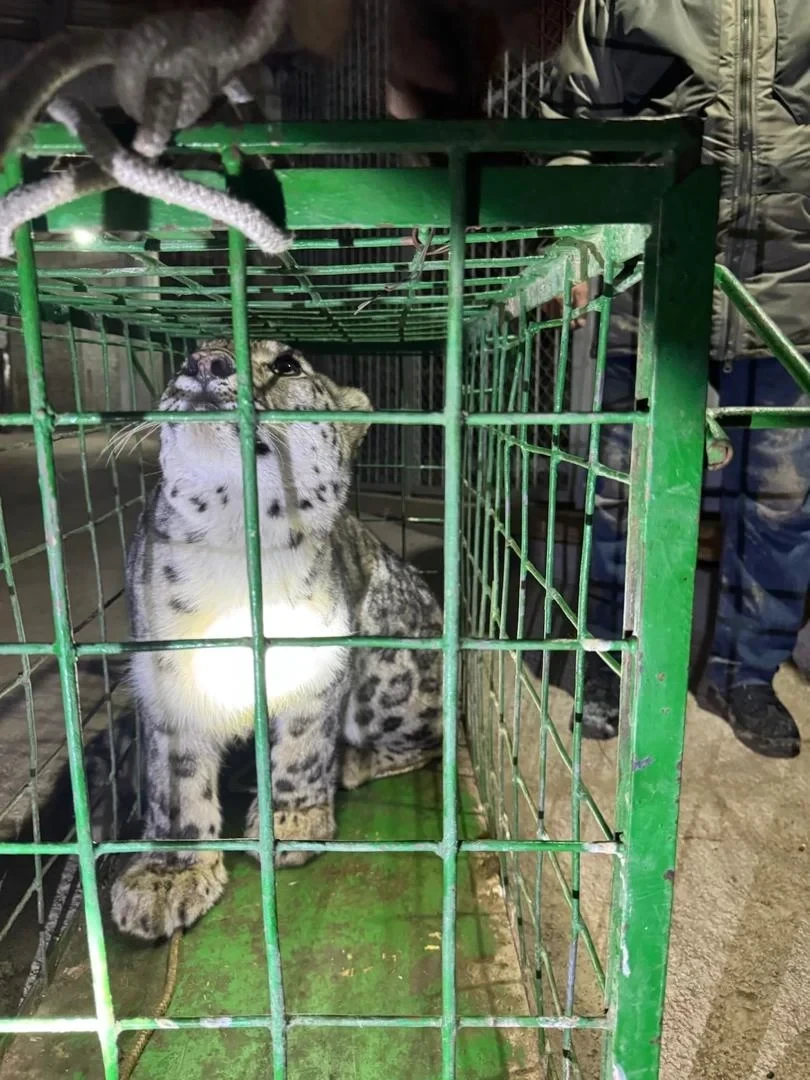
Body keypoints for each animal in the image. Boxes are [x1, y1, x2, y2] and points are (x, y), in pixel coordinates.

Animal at [110, 339, 443, 941]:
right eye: (188, 354)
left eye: (287, 364)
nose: (203, 364)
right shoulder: (168, 678)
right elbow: (175, 782)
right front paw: (167, 876)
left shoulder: (317, 664)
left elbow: (302, 748)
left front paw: (291, 822)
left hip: (388, 680)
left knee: (426, 738)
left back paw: (352, 764)